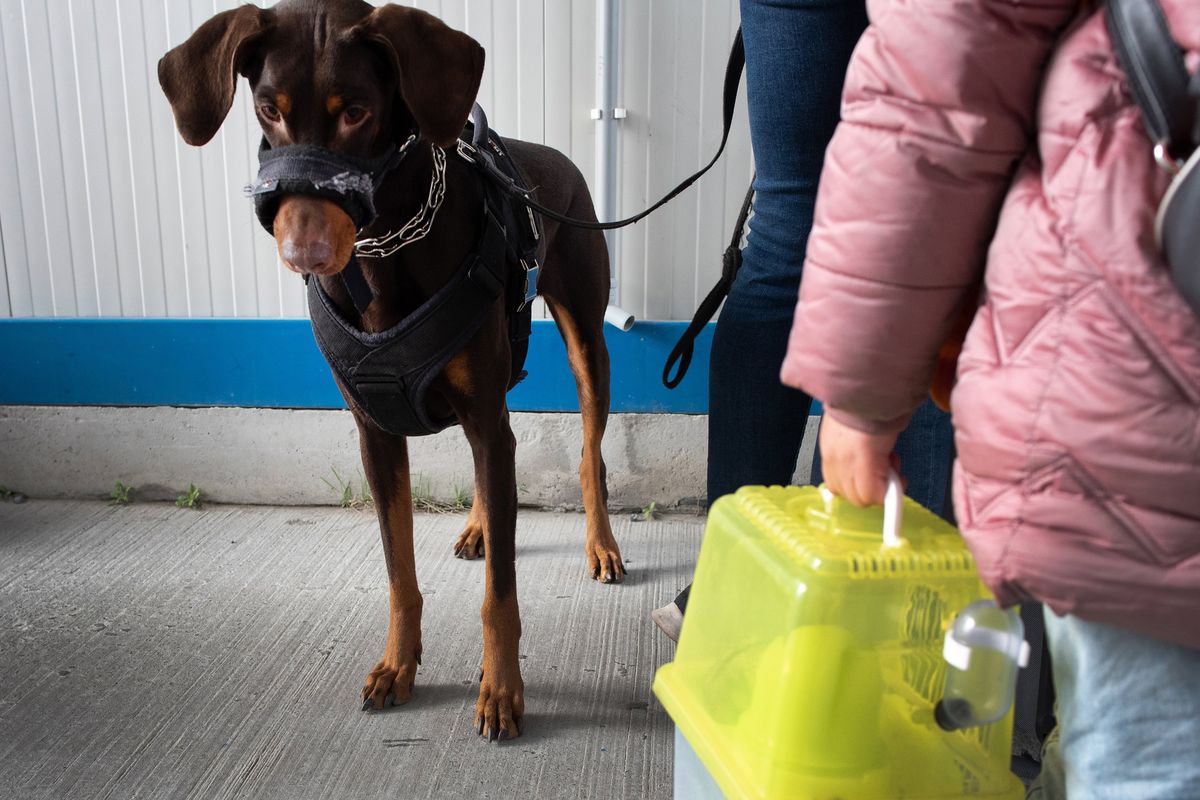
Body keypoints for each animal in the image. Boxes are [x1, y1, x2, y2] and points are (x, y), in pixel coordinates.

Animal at [159, 0, 628, 743]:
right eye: (267, 109)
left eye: (356, 111)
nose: (305, 251)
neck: (386, 251)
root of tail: (559, 158)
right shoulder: (375, 432)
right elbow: (398, 571)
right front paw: (398, 665)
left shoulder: (486, 414)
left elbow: (500, 594)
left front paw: (501, 690)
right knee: (492, 468)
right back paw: (479, 525)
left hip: (587, 336)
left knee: (588, 454)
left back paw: (601, 545)